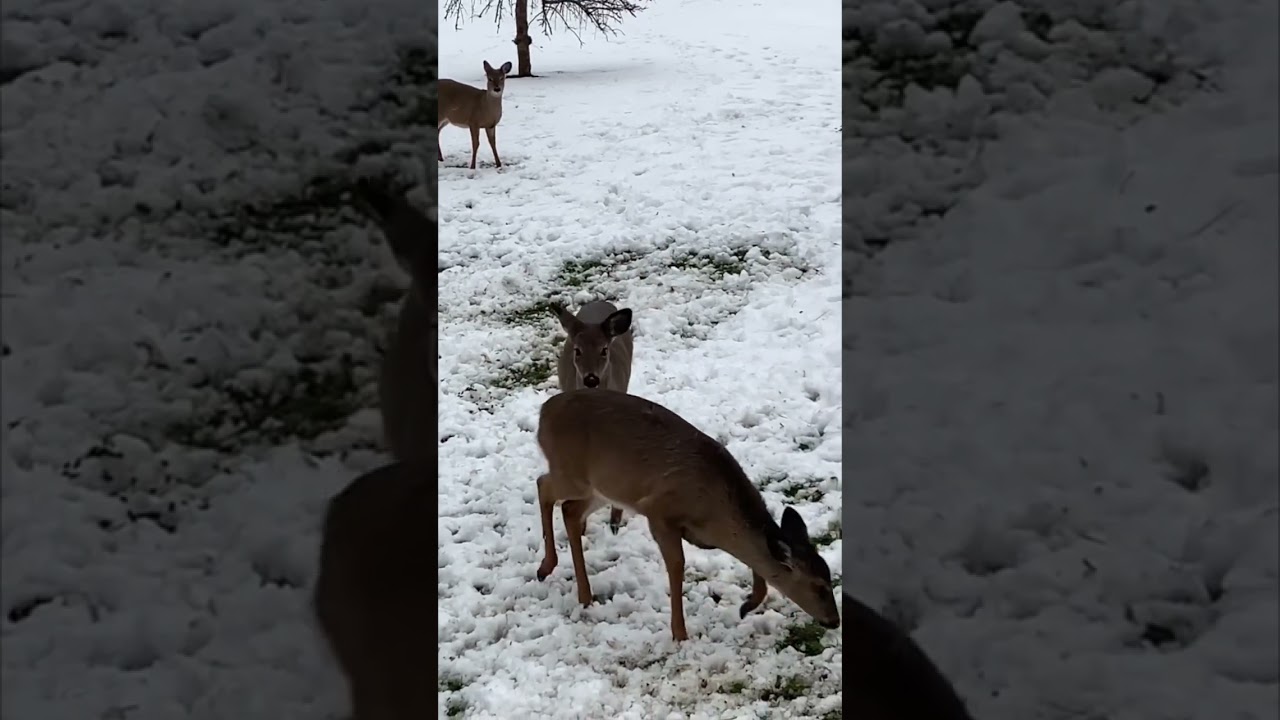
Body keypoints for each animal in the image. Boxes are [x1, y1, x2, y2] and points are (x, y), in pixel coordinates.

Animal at [533, 388, 841, 641]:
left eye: (829, 577)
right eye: (819, 587)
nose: (835, 621)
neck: (714, 513)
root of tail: (543, 413)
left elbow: (759, 567)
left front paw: (746, 606)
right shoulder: (659, 512)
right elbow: (677, 566)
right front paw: (680, 633)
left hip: (603, 488)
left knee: (569, 510)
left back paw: (584, 593)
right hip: (572, 474)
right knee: (543, 485)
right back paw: (546, 567)